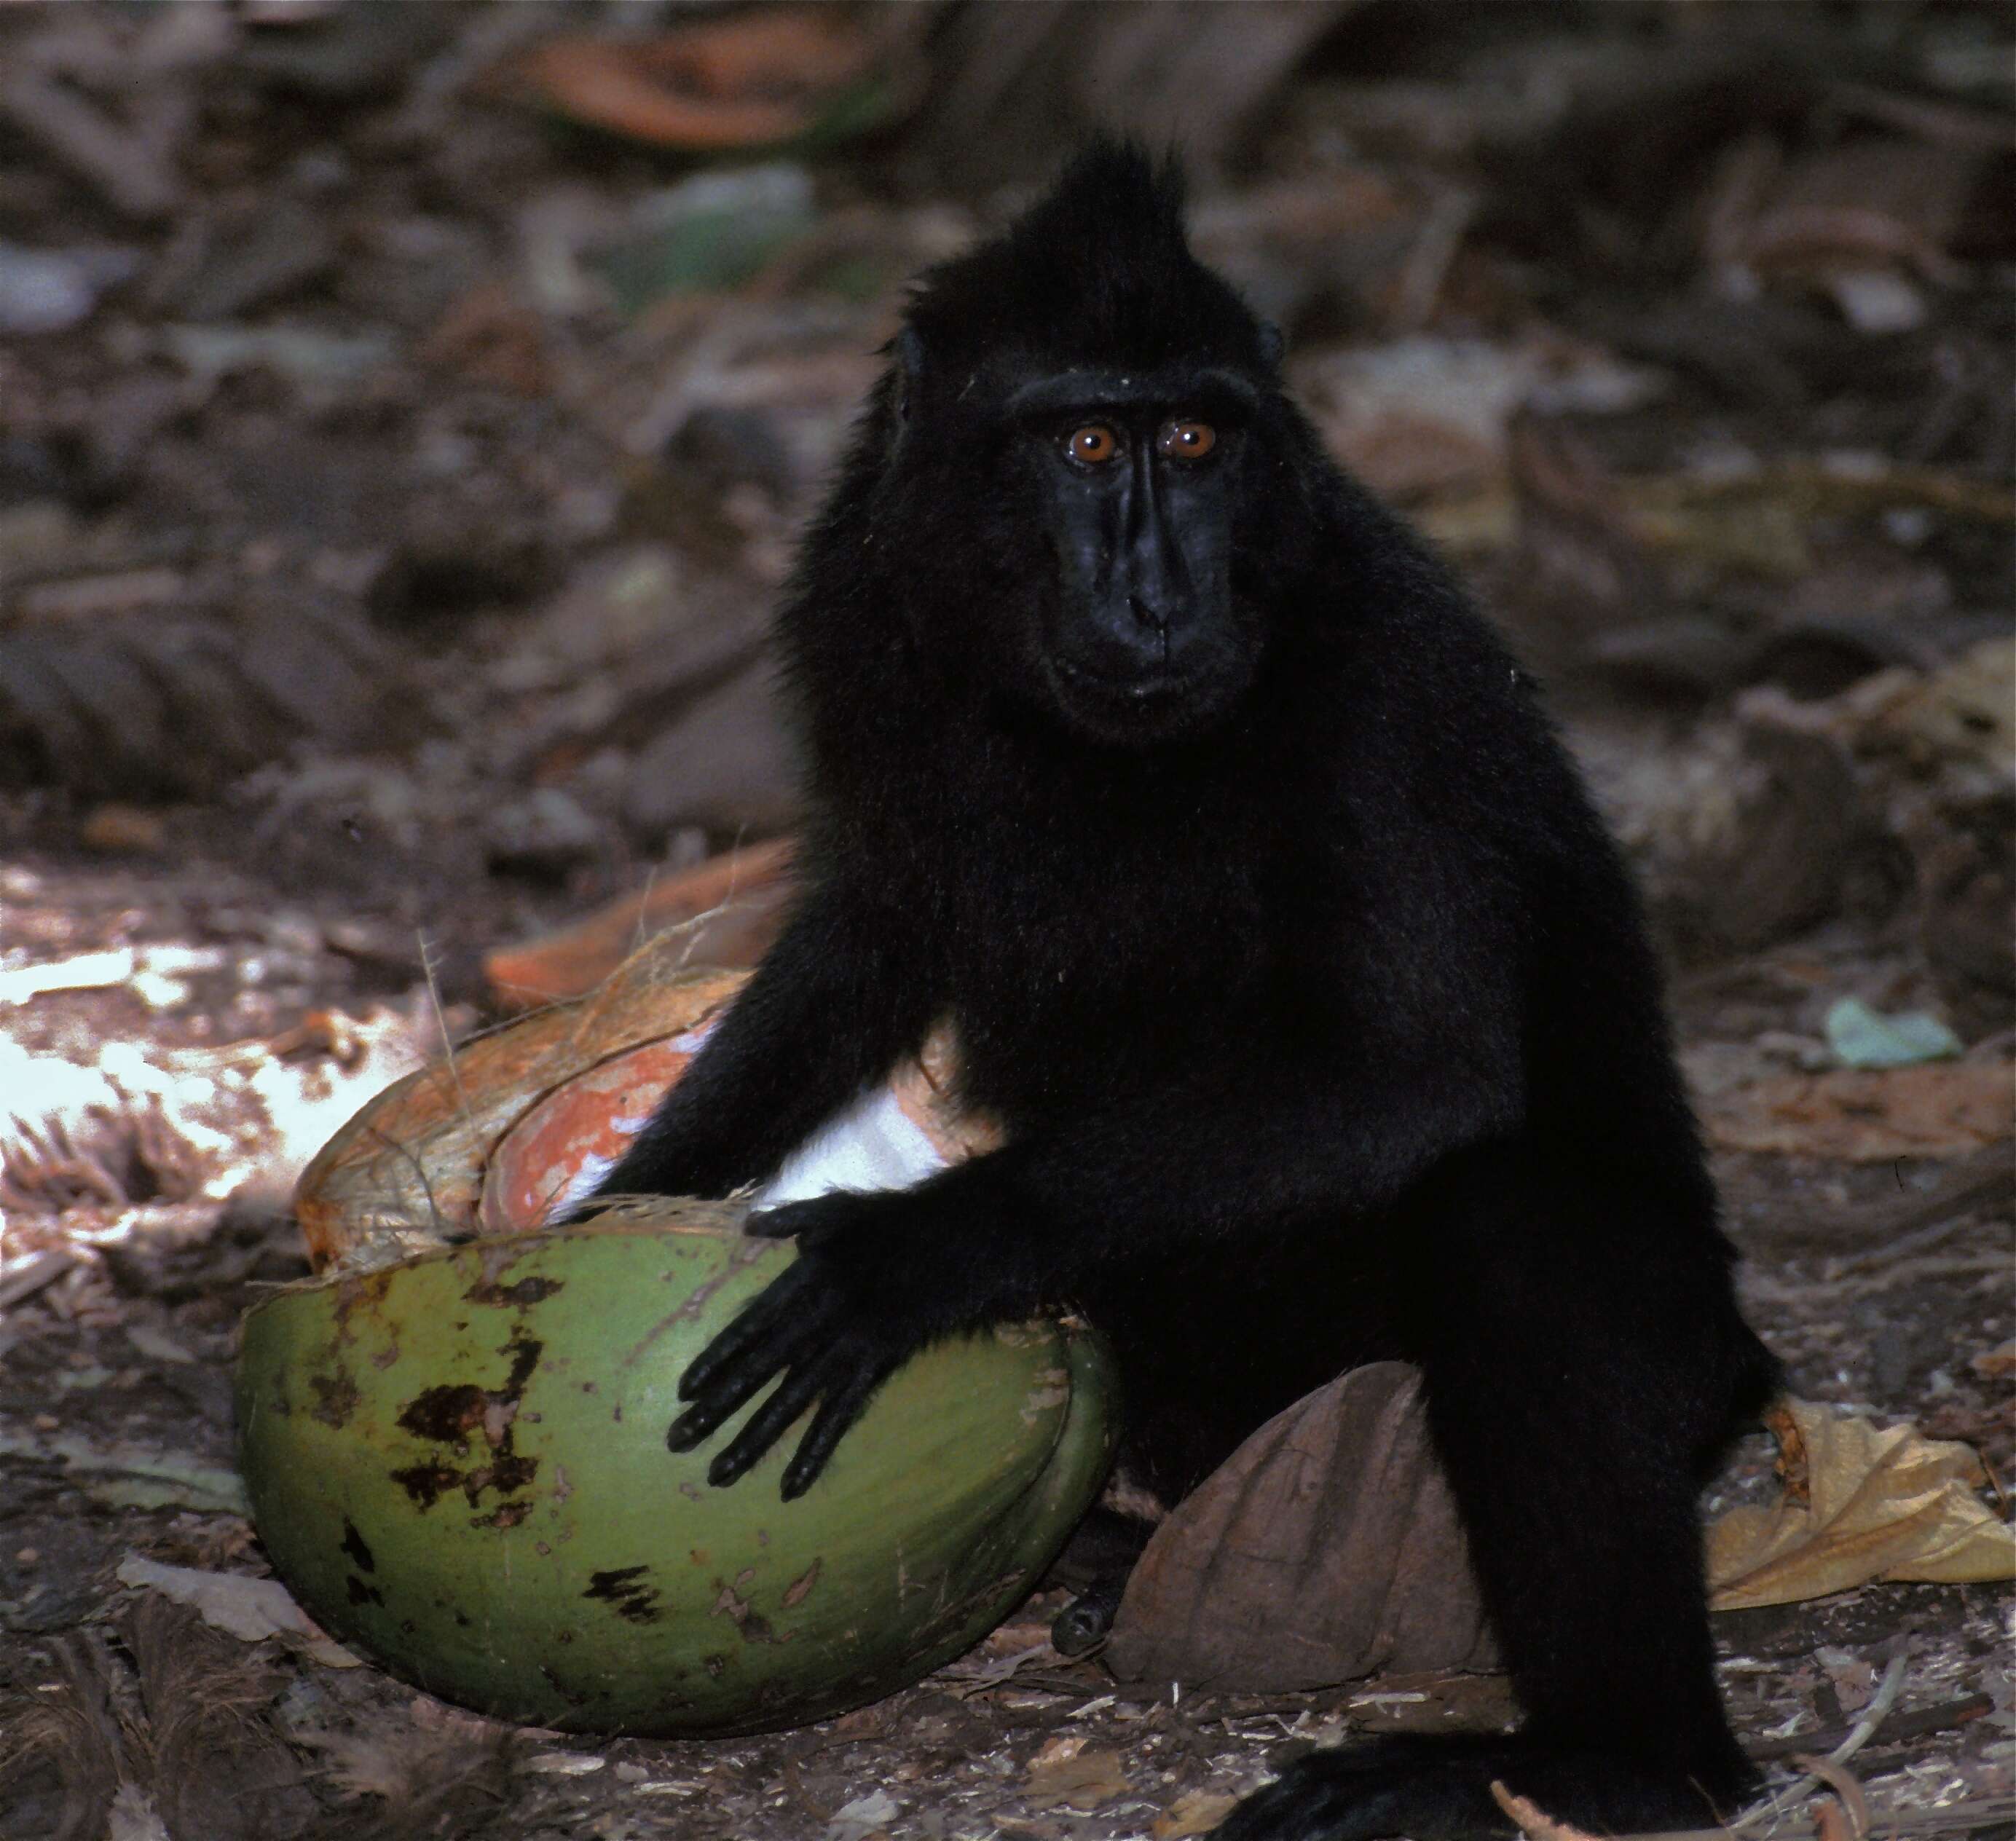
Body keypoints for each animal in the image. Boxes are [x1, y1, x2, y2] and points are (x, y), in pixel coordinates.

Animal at [588, 147, 1781, 1839]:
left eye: (1199, 440)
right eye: (1089, 441)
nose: (1160, 591)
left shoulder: (1380, 684)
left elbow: (1409, 1074)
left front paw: (913, 1251)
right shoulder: (860, 621)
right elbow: (869, 937)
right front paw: (619, 1196)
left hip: (1651, 1348)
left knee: (1518, 1232)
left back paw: (1608, 1757)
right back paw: (1119, 1547)